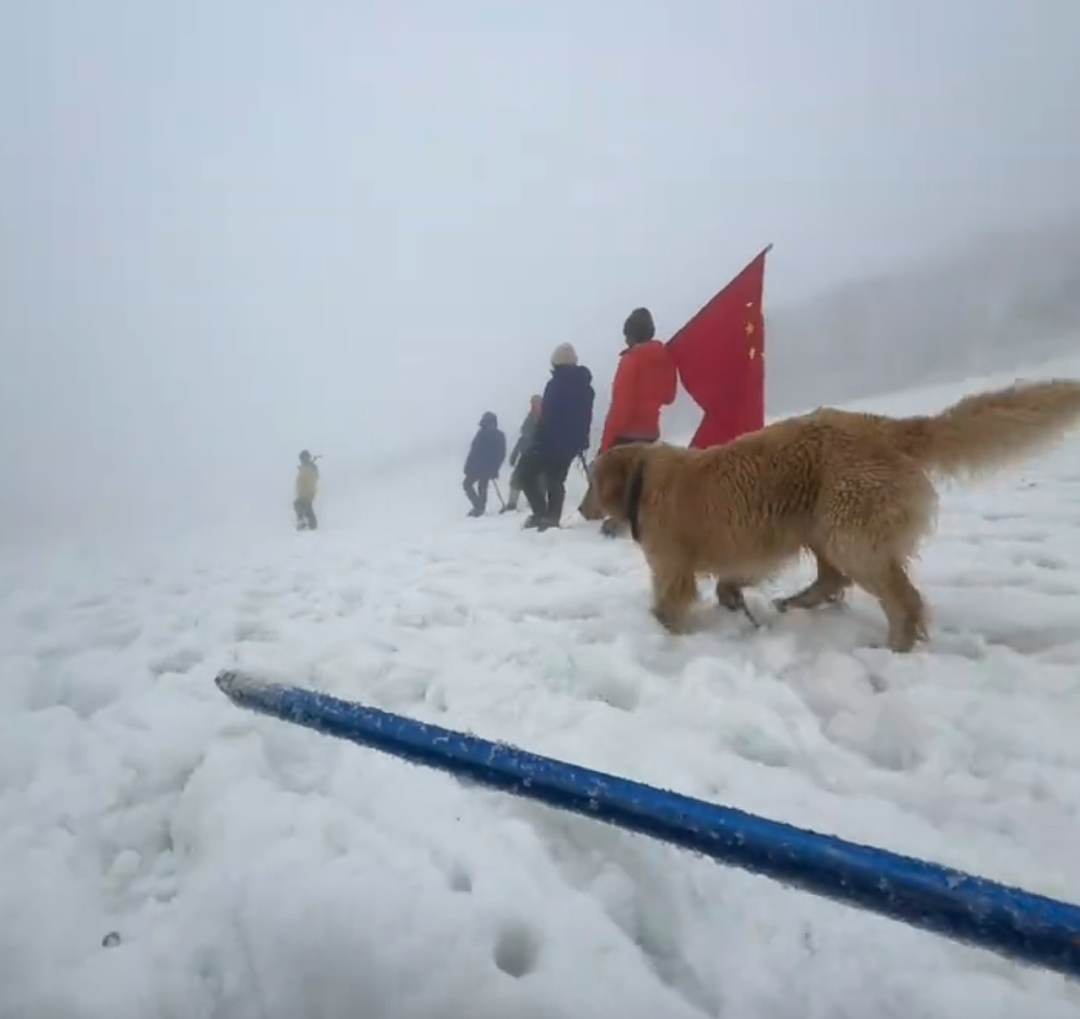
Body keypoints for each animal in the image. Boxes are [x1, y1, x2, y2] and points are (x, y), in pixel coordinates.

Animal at [587, 377, 1080, 647]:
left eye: (590, 482)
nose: (580, 505)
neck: (642, 477)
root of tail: (885, 426)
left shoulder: (672, 564)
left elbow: (669, 600)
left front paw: (661, 628)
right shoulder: (743, 546)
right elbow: (732, 579)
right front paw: (733, 602)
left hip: (850, 530)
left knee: (900, 597)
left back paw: (895, 645)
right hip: (824, 525)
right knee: (834, 578)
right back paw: (793, 603)